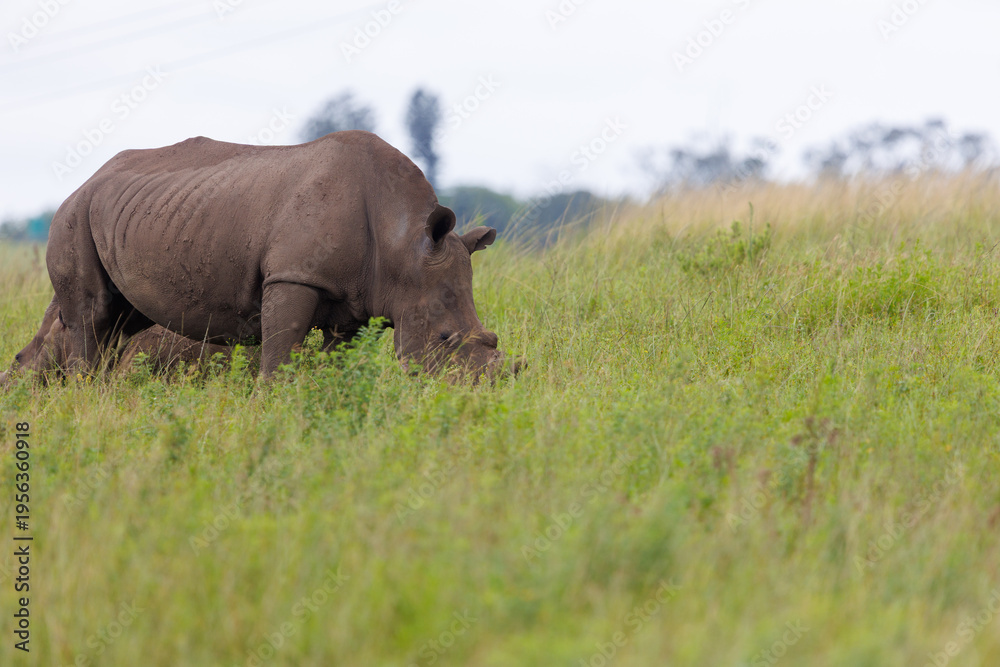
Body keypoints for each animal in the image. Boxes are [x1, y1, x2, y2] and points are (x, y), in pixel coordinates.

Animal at [1, 131, 514, 385]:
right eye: (445, 338)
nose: (484, 390)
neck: (403, 245)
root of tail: (86, 179)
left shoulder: (353, 302)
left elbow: (334, 361)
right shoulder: (293, 276)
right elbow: (278, 357)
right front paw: (274, 410)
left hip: (127, 212)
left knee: (116, 321)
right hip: (74, 215)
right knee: (91, 316)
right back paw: (84, 398)